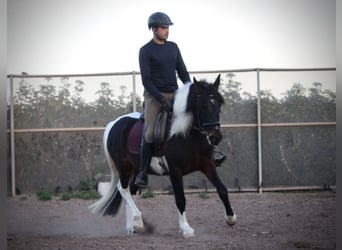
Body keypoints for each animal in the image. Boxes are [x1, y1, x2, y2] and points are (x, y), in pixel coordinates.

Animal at [89, 74, 236, 238]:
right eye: (202, 106)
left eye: (219, 105)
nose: (215, 137)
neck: (187, 134)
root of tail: (114, 124)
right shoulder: (175, 170)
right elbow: (180, 198)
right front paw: (186, 229)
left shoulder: (208, 165)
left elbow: (222, 189)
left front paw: (231, 218)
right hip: (124, 168)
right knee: (123, 189)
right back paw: (138, 222)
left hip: (135, 170)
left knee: (130, 192)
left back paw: (132, 227)